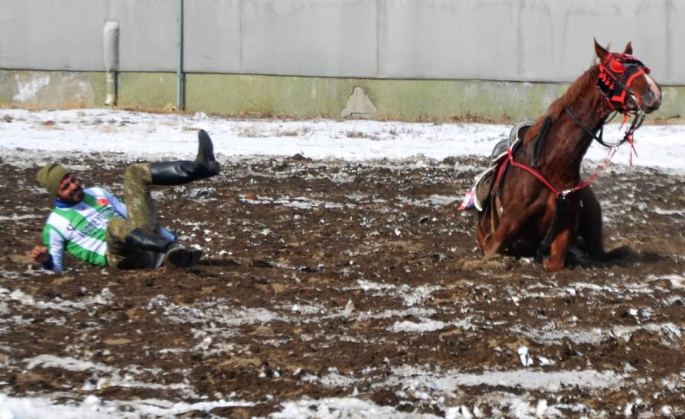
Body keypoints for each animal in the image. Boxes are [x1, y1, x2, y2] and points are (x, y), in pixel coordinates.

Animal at [478, 40, 660, 272]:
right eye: (617, 66)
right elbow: (494, 251)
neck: (551, 165)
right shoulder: (499, 236)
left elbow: (556, 262)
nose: (654, 92)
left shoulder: (563, 233)